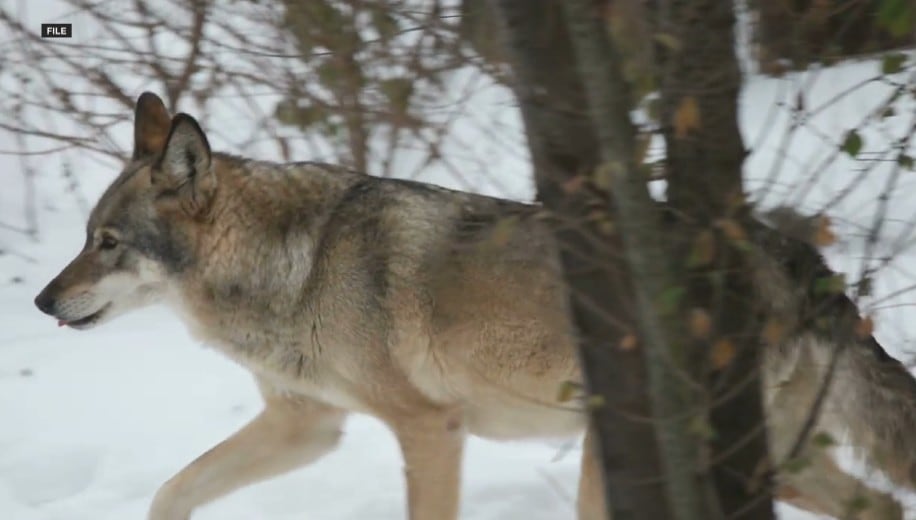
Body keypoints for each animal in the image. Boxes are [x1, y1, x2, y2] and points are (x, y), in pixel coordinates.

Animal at [34, 92, 916, 519]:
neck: (293, 266)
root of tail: (798, 255)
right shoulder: (306, 426)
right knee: (877, 503)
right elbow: (170, 493)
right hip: (777, 459)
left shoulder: (431, 428)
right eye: (85, 237)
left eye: (109, 243)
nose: (43, 301)